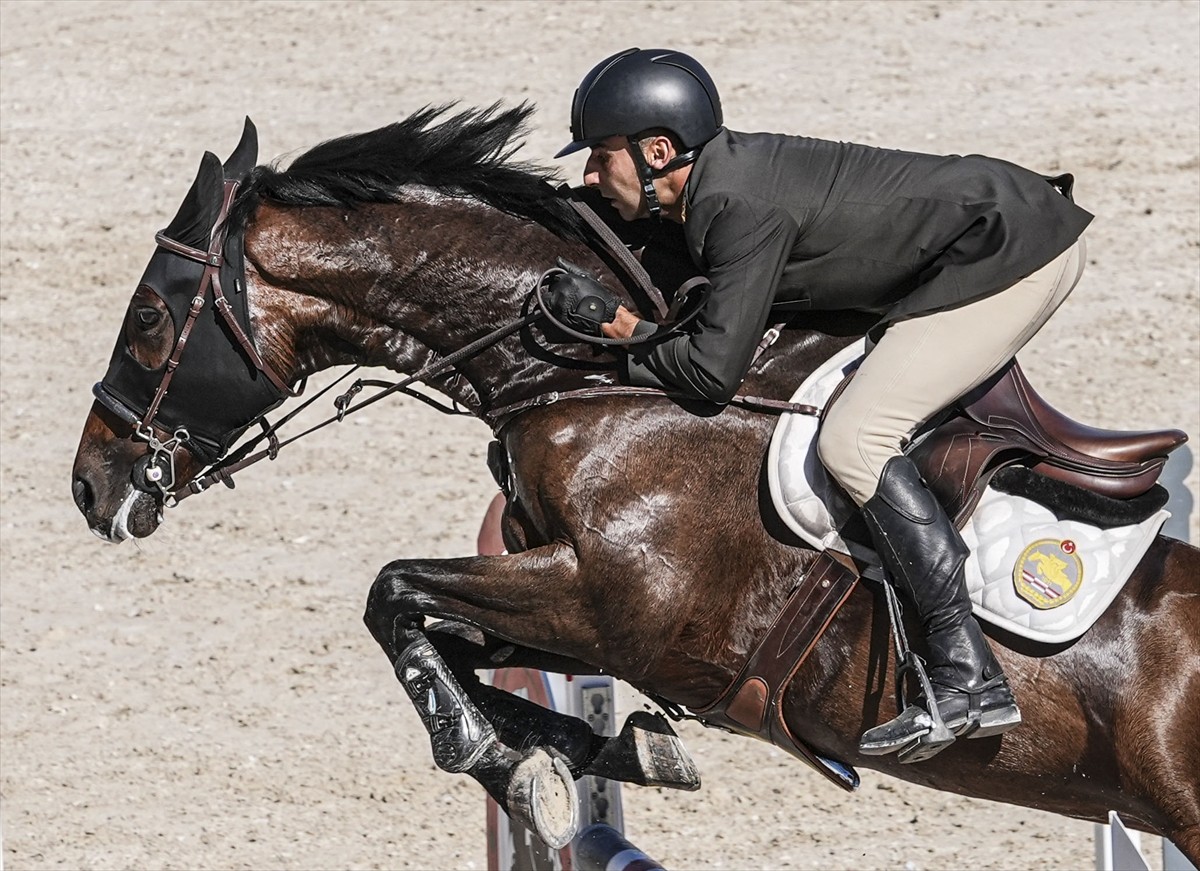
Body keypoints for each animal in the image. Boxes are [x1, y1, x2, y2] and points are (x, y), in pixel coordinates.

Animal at [72, 105, 1200, 863]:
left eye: (152, 319)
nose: (91, 485)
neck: (599, 382)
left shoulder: (613, 602)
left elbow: (391, 592)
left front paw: (509, 758)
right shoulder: (578, 608)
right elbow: (457, 643)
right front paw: (581, 754)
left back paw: (959, 702)